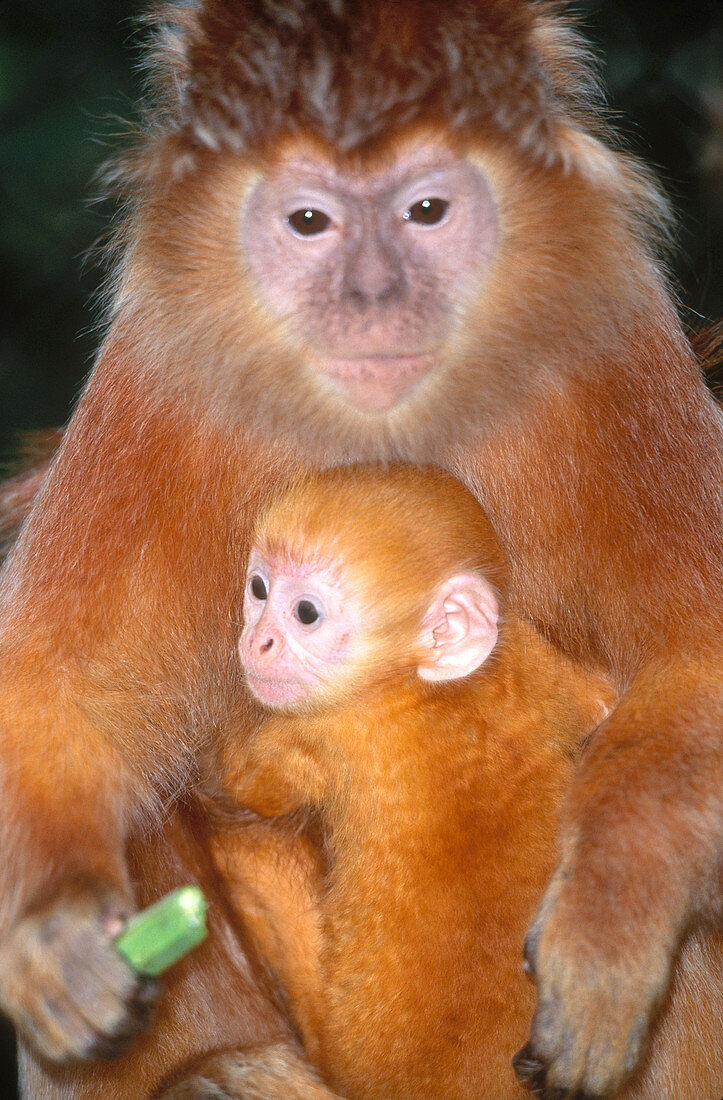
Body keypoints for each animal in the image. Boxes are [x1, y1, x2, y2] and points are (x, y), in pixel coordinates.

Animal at [205, 468, 717, 1100]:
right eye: (258, 588)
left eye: (304, 613)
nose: (259, 641)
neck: (435, 690)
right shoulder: (526, 652)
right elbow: (603, 704)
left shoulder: (327, 727)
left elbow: (245, 785)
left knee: (246, 845)